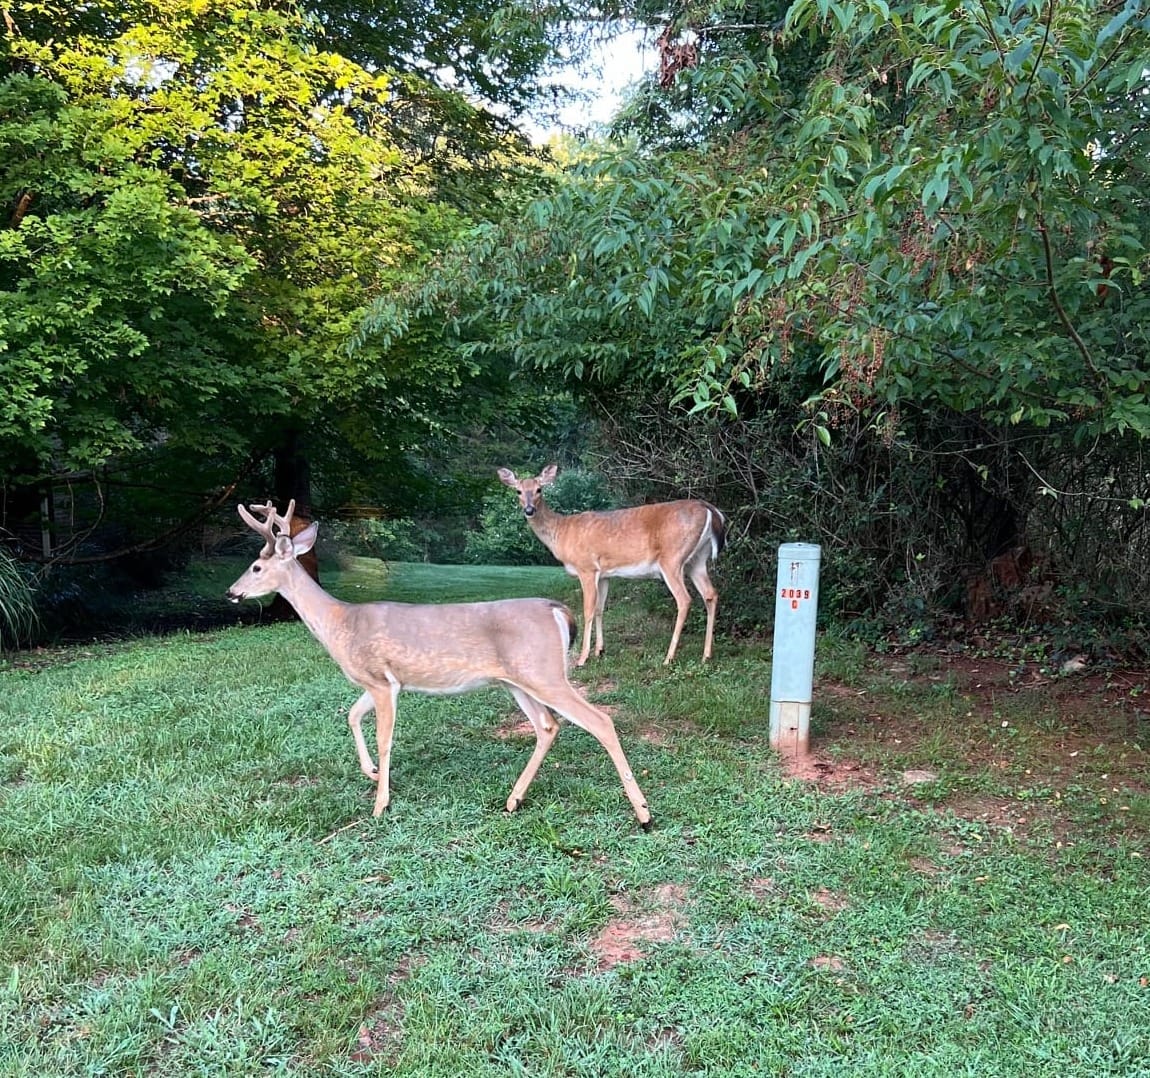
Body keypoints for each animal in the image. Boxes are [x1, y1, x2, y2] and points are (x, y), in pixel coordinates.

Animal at [225, 500, 651, 827]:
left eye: (256, 567)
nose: (232, 592)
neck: (341, 624)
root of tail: (558, 611)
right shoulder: (380, 682)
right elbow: (351, 715)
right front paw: (370, 772)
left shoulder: (381, 680)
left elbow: (384, 739)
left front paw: (380, 803)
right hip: (517, 680)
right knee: (547, 726)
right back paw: (513, 800)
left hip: (543, 671)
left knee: (600, 720)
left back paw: (644, 814)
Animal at [497, 465, 726, 667]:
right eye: (518, 491)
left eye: (539, 489)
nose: (529, 510)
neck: (561, 532)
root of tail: (710, 510)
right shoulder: (605, 574)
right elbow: (600, 608)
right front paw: (599, 650)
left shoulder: (586, 568)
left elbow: (588, 610)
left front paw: (583, 658)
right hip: (697, 560)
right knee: (711, 593)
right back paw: (706, 655)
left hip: (672, 558)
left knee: (684, 599)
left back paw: (668, 658)